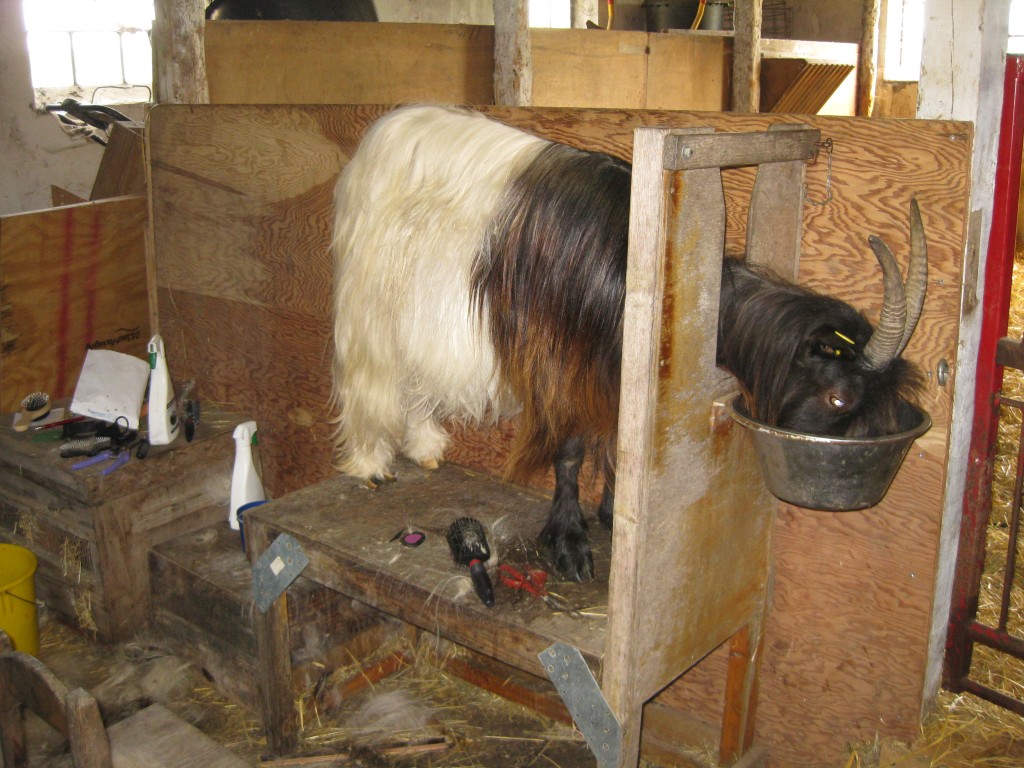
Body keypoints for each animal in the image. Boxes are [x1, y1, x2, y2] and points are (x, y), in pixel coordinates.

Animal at [329, 105, 929, 581]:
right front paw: (569, 541)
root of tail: (385, 130)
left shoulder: (623, 375)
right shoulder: (563, 363)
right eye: (838, 398)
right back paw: (370, 463)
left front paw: (616, 513)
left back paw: (426, 446)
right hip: (372, 300)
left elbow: (621, 443)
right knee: (369, 374)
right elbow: (571, 451)